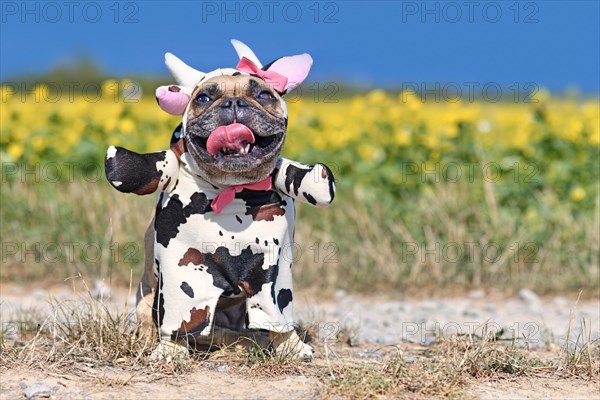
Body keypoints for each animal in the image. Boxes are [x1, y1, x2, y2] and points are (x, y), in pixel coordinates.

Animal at [105, 39, 336, 360]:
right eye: (203, 98)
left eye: (264, 94)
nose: (233, 103)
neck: (232, 190)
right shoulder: (182, 275)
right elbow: (178, 318)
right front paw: (170, 350)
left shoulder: (274, 275)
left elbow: (278, 315)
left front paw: (291, 346)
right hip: (151, 293)